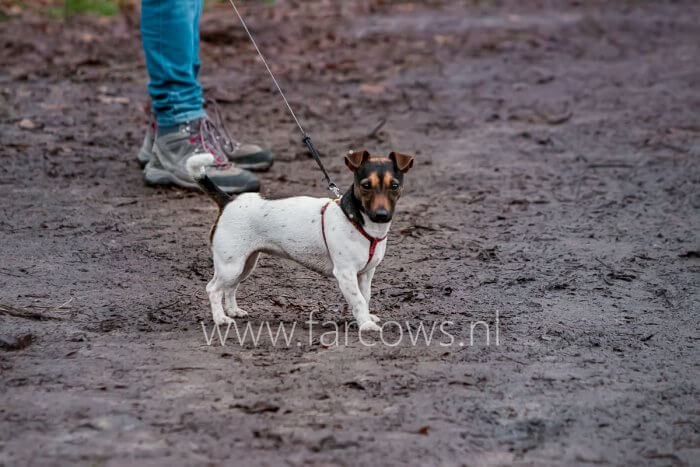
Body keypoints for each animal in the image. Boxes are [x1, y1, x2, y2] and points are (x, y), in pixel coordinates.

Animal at [189, 151, 412, 332]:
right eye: (366, 186)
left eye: (394, 186)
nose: (381, 215)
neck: (360, 222)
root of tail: (229, 201)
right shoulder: (345, 273)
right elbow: (358, 300)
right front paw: (365, 324)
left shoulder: (366, 274)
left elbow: (365, 297)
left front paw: (366, 317)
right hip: (231, 265)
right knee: (213, 289)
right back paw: (220, 319)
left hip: (245, 264)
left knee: (230, 288)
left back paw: (233, 310)